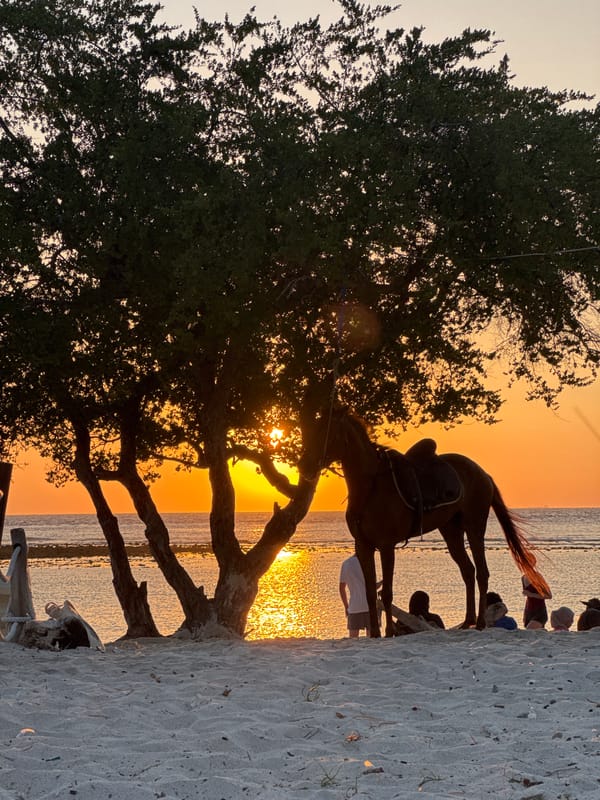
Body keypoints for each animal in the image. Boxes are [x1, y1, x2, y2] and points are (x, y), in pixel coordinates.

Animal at [299, 406, 550, 637]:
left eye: (326, 431)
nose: (305, 466)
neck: (371, 487)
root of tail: (483, 474)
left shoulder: (386, 546)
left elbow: (386, 591)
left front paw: (388, 632)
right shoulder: (363, 546)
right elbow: (370, 592)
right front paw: (375, 633)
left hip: (474, 527)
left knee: (481, 572)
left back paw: (478, 623)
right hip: (451, 531)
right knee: (468, 571)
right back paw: (467, 621)